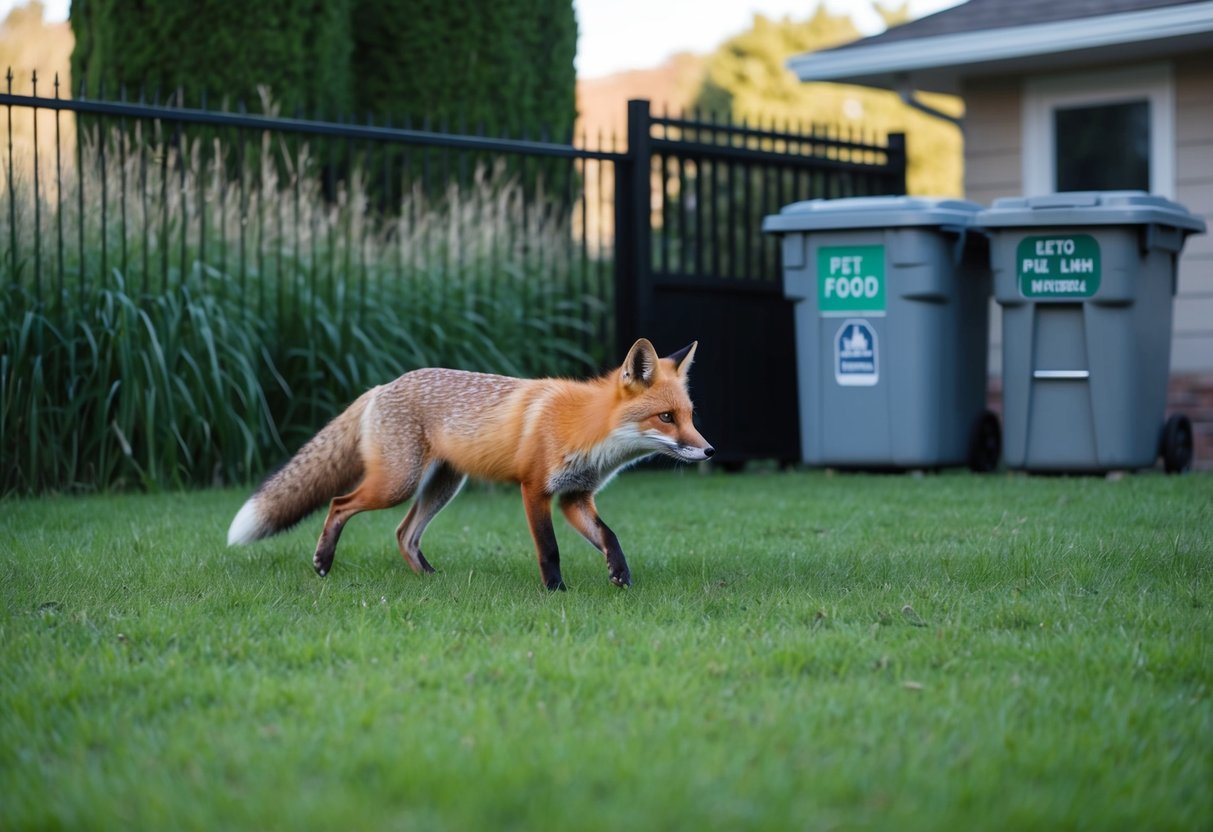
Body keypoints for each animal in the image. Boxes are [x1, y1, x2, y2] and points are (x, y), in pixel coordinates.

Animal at [227, 338, 714, 590]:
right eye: (666, 418)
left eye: (690, 417)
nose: (709, 451)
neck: (589, 430)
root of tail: (384, 385)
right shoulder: (535, 490)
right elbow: (549, 549)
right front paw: (556, 592)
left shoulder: (575, 496)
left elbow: (610, 536)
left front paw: (621, 575)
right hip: (398, 484)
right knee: (339, 504)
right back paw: (323, 562)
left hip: (442, 486)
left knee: (404, 534)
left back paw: (430, 581)